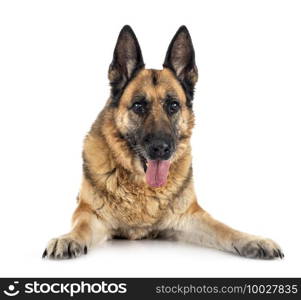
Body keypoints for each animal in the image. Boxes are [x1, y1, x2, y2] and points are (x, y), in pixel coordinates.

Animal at [42, 25, 284, 260]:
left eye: (173, 105)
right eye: (139, 106)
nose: (161, 148)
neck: (142, 187)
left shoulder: (189, 217)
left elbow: (224, 229)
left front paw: (253, 240)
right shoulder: (89, 214)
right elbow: (81, 227)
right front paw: (67, 239)